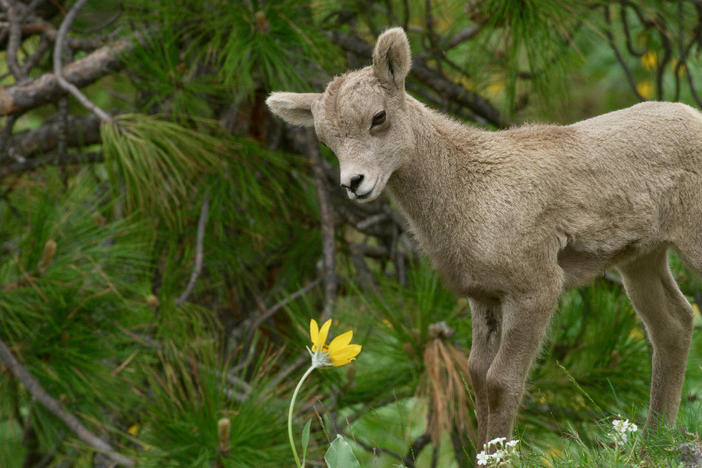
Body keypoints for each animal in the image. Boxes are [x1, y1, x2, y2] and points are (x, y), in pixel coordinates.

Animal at [268, 26, 702, 450]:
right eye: (325, 140)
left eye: (378, 116)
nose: (354, 183)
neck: (470, 191)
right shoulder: (484, 297)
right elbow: (476, 376)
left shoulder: (537, 288)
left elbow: (501, 381)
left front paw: (501, 453)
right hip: (642, 259)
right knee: (674, 324)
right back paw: (652, 439)